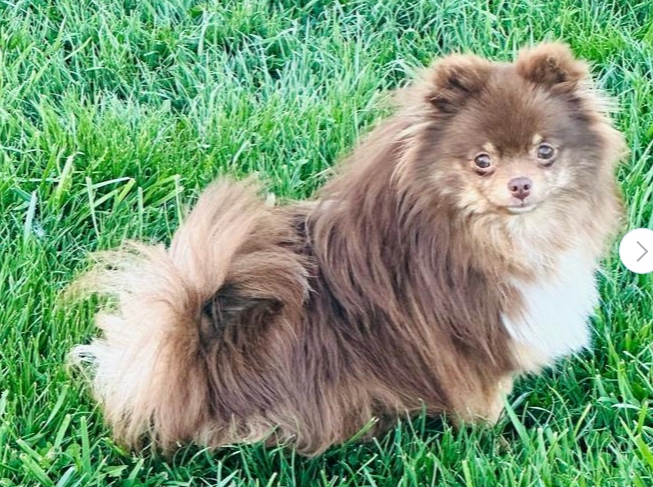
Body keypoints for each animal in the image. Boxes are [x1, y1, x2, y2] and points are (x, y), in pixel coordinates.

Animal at [71, 43, 624, 456]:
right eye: (482, 161)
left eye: (545, 151)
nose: (521, 185)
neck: (495, 235)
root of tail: (203, 353)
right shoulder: (477, 343)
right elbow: (485, 403)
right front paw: (497, 435)